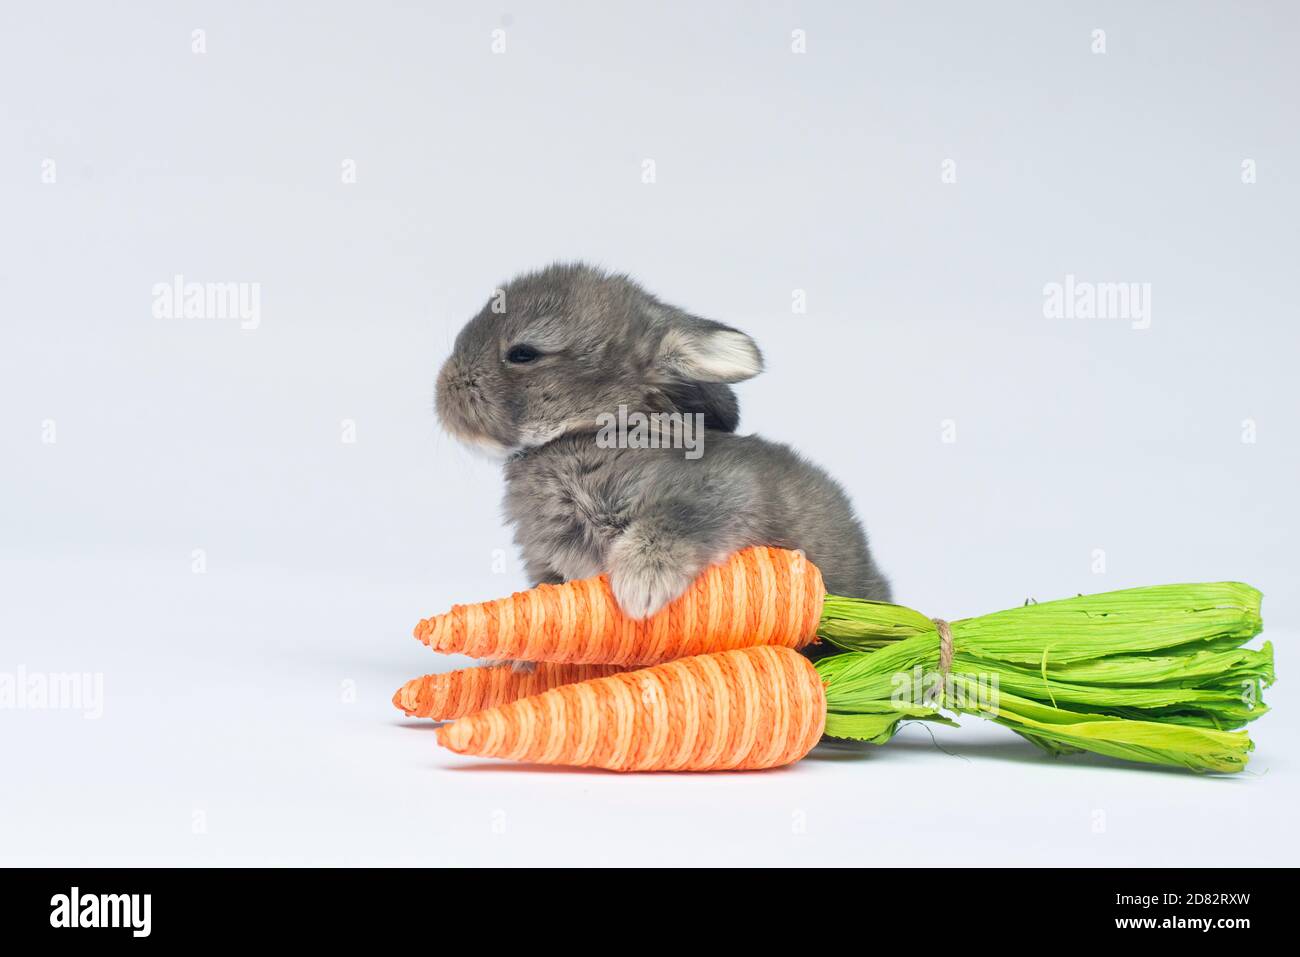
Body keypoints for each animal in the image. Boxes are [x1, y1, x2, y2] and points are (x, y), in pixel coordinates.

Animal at [431, 265, 889, 631]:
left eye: (523, 353)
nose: (443, 388)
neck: (592, 430)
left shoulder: (722, 491)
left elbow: (674, 521)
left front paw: (641, 587)